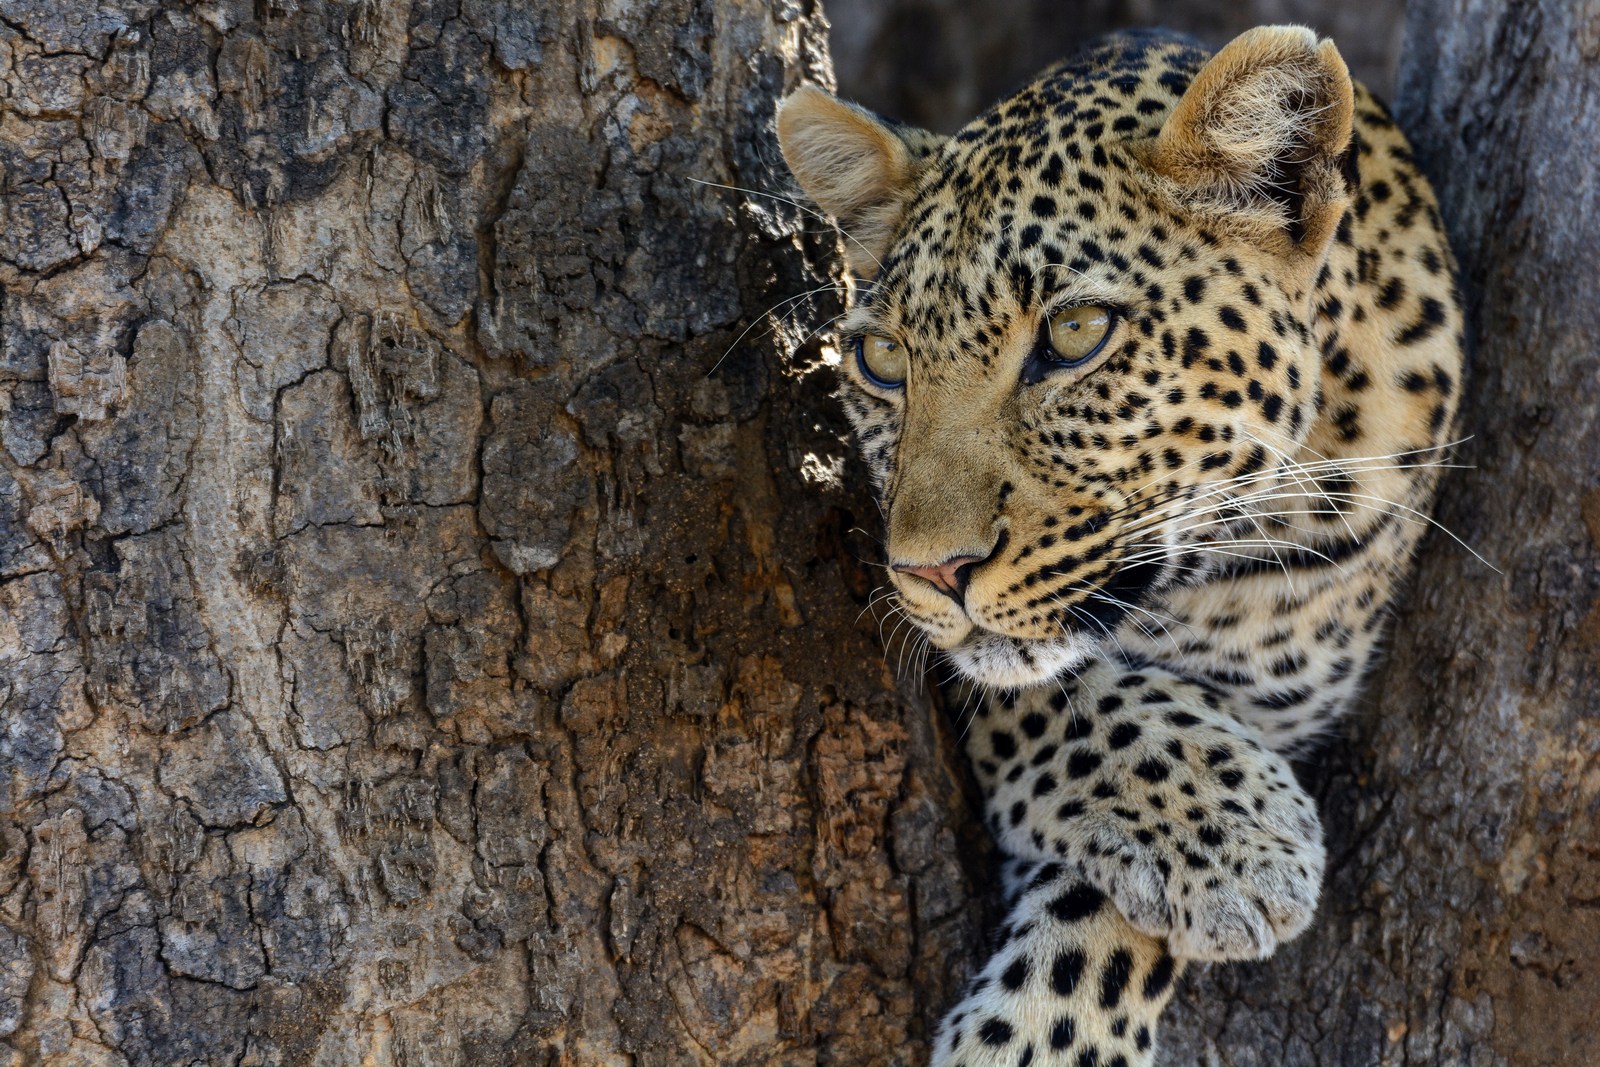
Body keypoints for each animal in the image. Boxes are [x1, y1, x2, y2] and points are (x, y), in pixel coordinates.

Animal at [774, 20, 1465, 1062]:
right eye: (882, 358)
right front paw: (1238, 834)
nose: (931, 570)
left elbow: (1099, 927)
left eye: (1075, 332)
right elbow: (1059, 698)